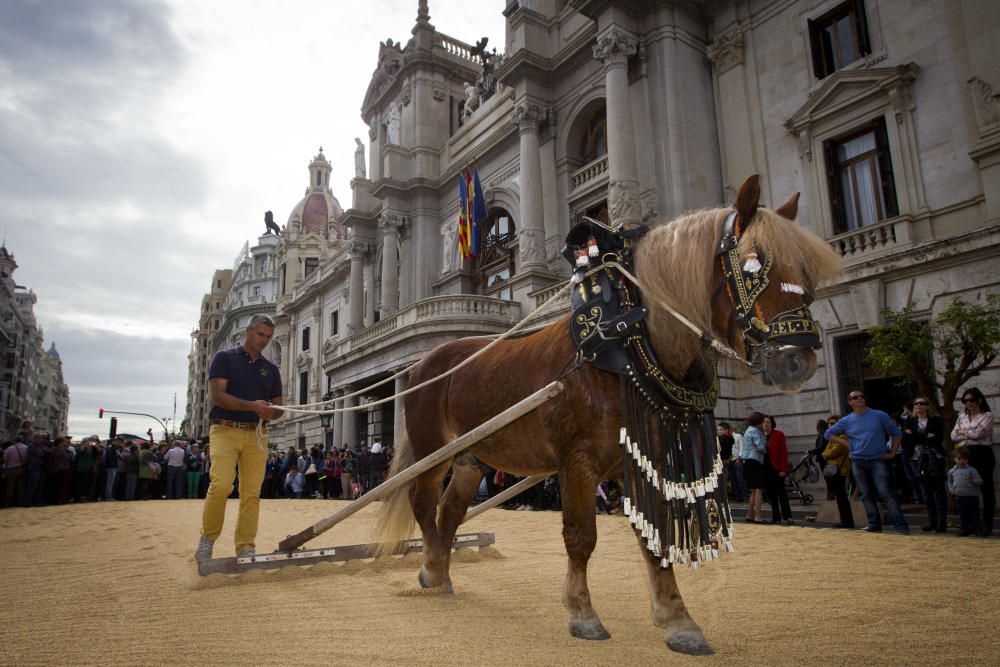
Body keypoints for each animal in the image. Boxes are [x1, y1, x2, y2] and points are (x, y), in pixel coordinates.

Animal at [372, 175, 840, 656]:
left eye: (807, 269)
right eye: (752, 265)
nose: (797, 360)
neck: (626, 340)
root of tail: (423, 364)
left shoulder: (643, 458)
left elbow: (655, 536)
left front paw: (678, 620)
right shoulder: (577, 462)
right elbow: (581, 536)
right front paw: (583, 613)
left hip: (471, 458)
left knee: (449, 512)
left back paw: (442, 572)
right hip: (434, 451)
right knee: (424, 503)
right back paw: (431, 567)